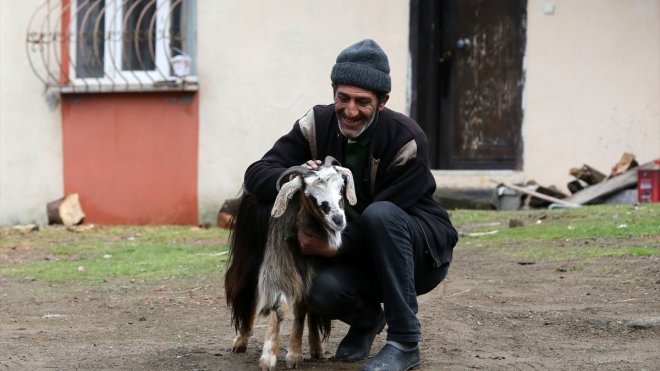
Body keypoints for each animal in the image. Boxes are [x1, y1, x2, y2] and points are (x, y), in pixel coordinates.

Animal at [223, 155, 356, 370]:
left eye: (341, 188)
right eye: (310, 195)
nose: (338, 220)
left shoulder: (311, 268)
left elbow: (303, 307)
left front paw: (295, 354)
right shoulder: (278, 265)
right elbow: (279, 307)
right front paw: (268, 358)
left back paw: (317, 348)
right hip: (250, 257)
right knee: (248, 291)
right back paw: (241, 341)